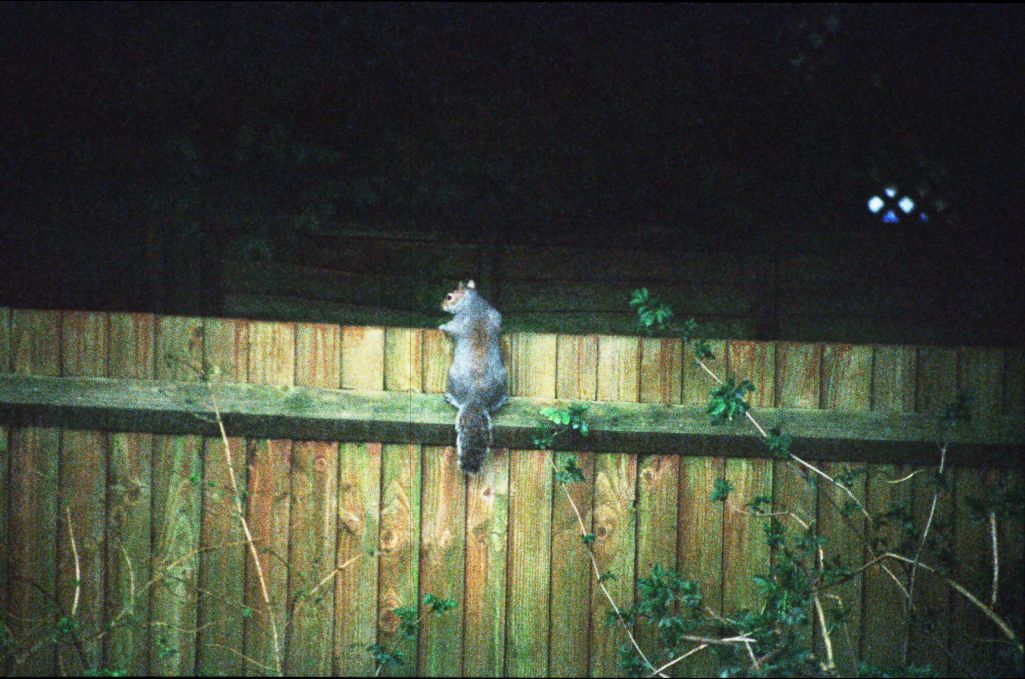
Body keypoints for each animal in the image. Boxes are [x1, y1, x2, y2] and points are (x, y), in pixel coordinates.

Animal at [439, 279, 508, 475]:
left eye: (449, 297)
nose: (442, 304)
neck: (473, 303)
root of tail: (475, 397)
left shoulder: (458, 322)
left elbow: (450, 328)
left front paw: (441, 326)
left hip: (451, 376)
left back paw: (451, 398)